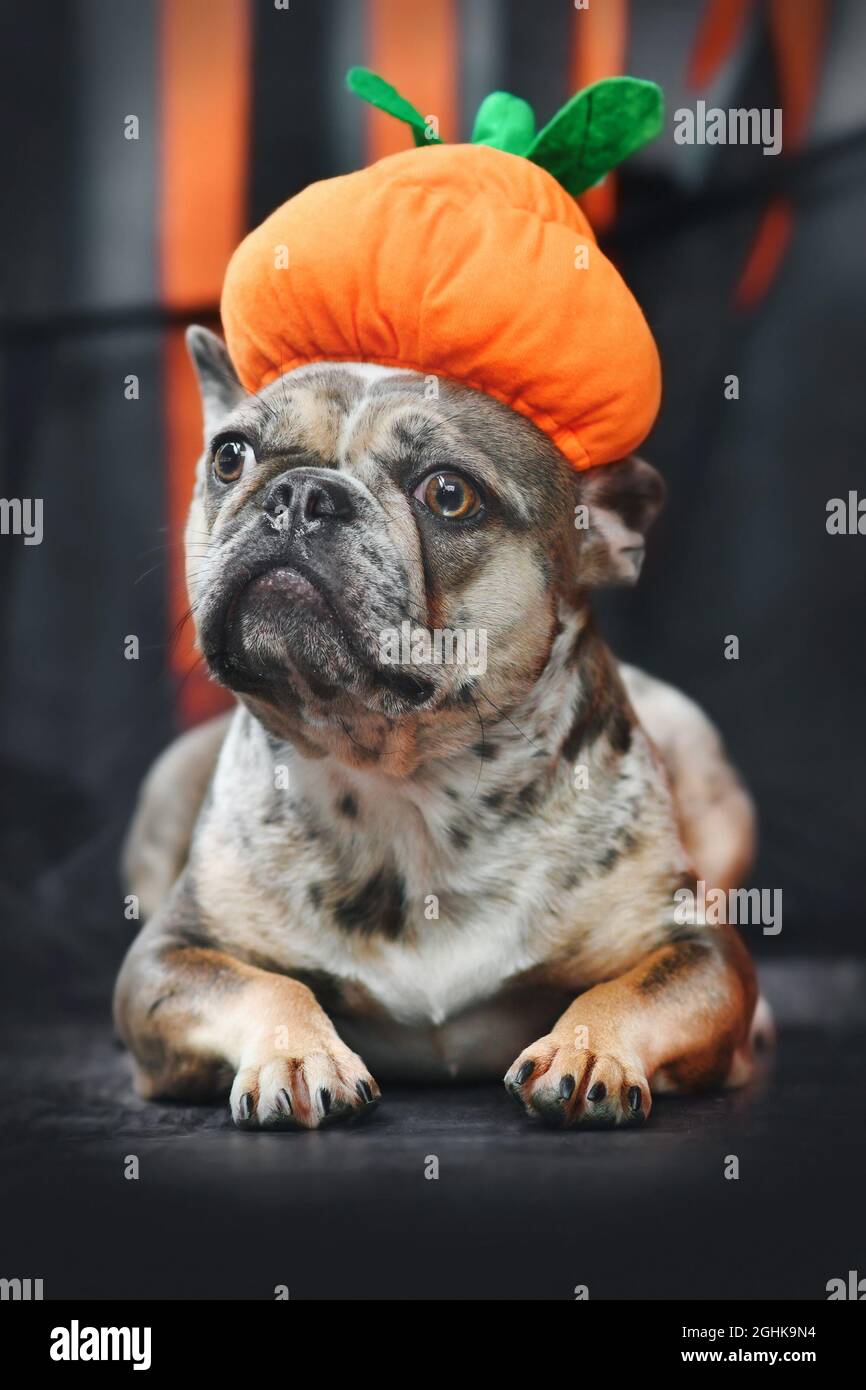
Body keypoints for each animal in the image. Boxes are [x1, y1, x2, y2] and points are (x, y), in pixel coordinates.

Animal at [111, 328, 761, 1128]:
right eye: (229, 456)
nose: (302, 494)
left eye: (450, 494)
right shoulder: (166, 958)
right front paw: (297, 1054)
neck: (404, 782)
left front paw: (589, 1048)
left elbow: (633, 987)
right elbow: (263, 983)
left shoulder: (700, 952)